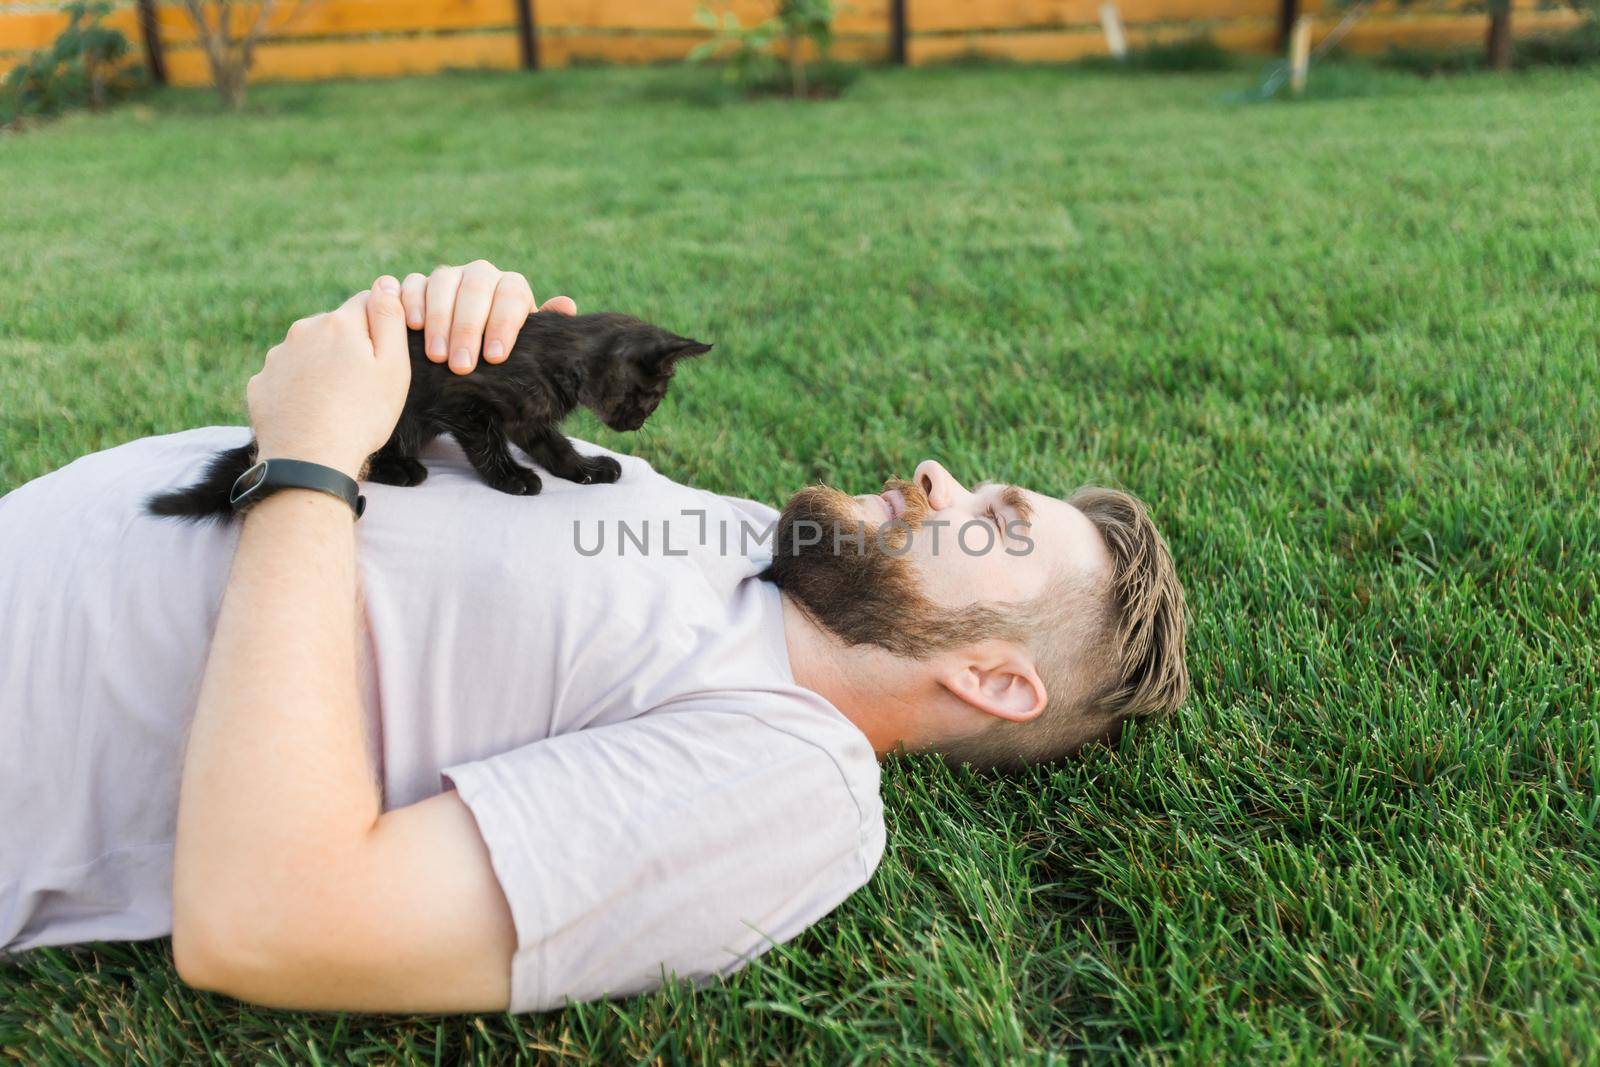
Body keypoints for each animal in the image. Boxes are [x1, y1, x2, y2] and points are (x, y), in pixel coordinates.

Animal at [147, 310, 710, 524]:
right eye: (652, 396)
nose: (638, 423)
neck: (558, 357)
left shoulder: (530, 416)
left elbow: (555, 446)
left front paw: (587, 470)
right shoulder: (463, 402)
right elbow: (487, 445)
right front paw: (511, 478)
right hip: (393, 414)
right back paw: (403, 469)